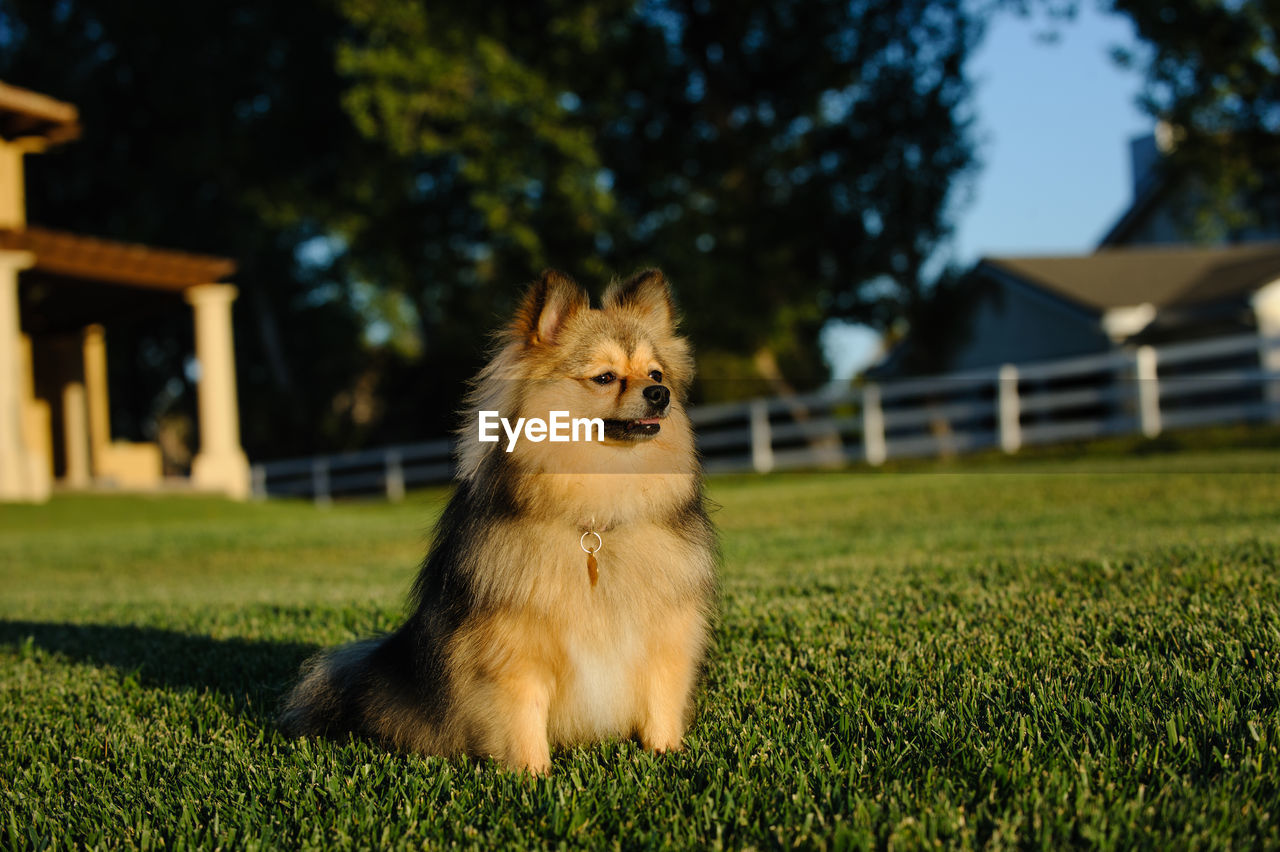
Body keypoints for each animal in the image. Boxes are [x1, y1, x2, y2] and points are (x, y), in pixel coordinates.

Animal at [279, 266, 716, 767]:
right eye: (605, 377)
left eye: (656, 373)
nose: (660, 394)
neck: (596, 521)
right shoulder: (514, 653)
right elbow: (523, 718)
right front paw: (534, 773)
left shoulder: (665, 641)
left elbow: (660, 704)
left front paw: (666, 754)